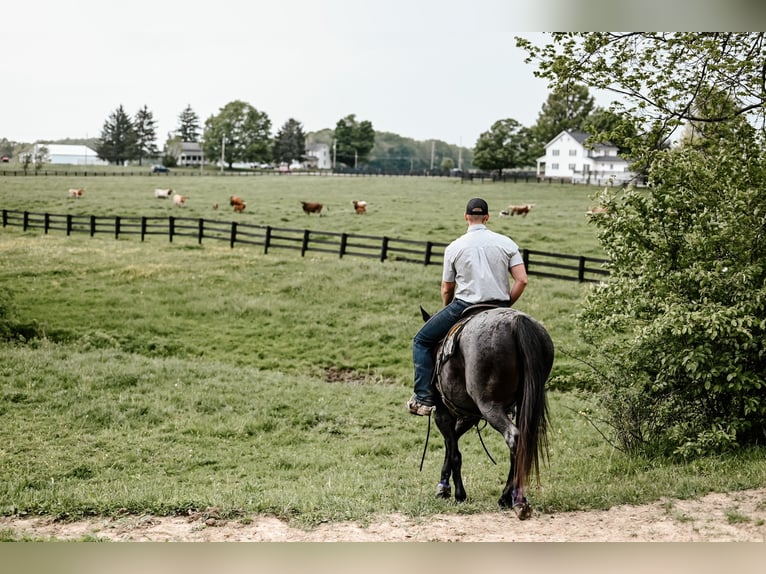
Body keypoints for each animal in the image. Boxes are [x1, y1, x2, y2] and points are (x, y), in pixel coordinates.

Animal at [424, 306, 556, 520]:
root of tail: (517, 322)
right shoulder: (469, 415)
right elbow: (451, 445)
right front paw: (445, 487)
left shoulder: (443, 414)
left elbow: (453, 451)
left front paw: (455, 492)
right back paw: (515, 498)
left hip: (489, 405)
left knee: (514, 437)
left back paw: (509, 498)